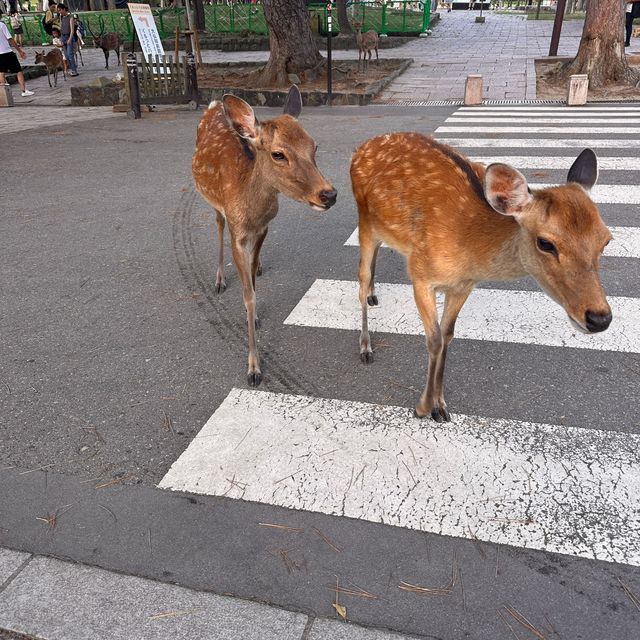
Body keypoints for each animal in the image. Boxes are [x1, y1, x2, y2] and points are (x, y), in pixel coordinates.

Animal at [192, 85, 338, 384]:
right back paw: (220, 279)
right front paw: (254, 368)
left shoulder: (264, 228)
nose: (328, 194)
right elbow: (248, 294)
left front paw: (256, 312)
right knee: (218, 223)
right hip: (213, 201)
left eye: (314, 146)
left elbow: (253, 283)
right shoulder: (237, 231)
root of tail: (214, 105)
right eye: (278, 154)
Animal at [352, 135, 612, 420]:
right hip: (364, 221)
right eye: (545, 243)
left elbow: (448, 335)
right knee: (361, 278)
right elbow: (434, 340)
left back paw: (373, 295)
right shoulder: (420, 274)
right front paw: (422, 407)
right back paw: (365, 347)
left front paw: (440, 406)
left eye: (606, 240)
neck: (470, 253)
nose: (599, 318)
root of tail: (360, 148)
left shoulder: (464, 286)